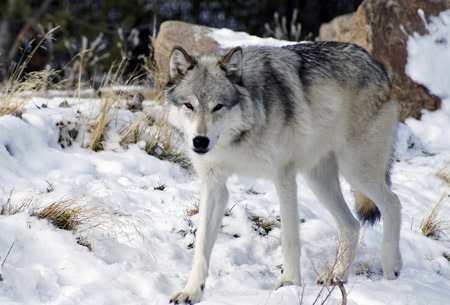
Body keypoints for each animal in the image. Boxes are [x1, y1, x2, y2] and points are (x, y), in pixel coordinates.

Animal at [163, 41, 402, 302]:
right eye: (189, 105)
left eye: (218, 107)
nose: (200, 141)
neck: (239, 137)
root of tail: (377, 64)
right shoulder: (214, 184)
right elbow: (201, 247)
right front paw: (191, 291)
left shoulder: (284, 177)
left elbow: (289, 238)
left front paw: (289, 282)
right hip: (318, 180)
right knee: (351, 225)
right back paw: (336, 276)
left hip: (356, 171)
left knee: (393, 202)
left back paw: (391, 265)